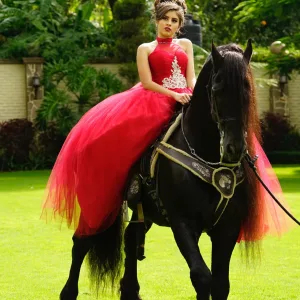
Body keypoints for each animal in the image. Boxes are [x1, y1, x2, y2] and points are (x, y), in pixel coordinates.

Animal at [59, 40, 262, 300]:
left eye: (248, 88)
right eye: (218, 88)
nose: (234, 147)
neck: (207, 154)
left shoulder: (228, 227)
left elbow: (220, 285)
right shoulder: (182, 223)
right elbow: (201, 277)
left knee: (130, 238)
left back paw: (130, 290)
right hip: (99, 202)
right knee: (81, 242)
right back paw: (69, 292)